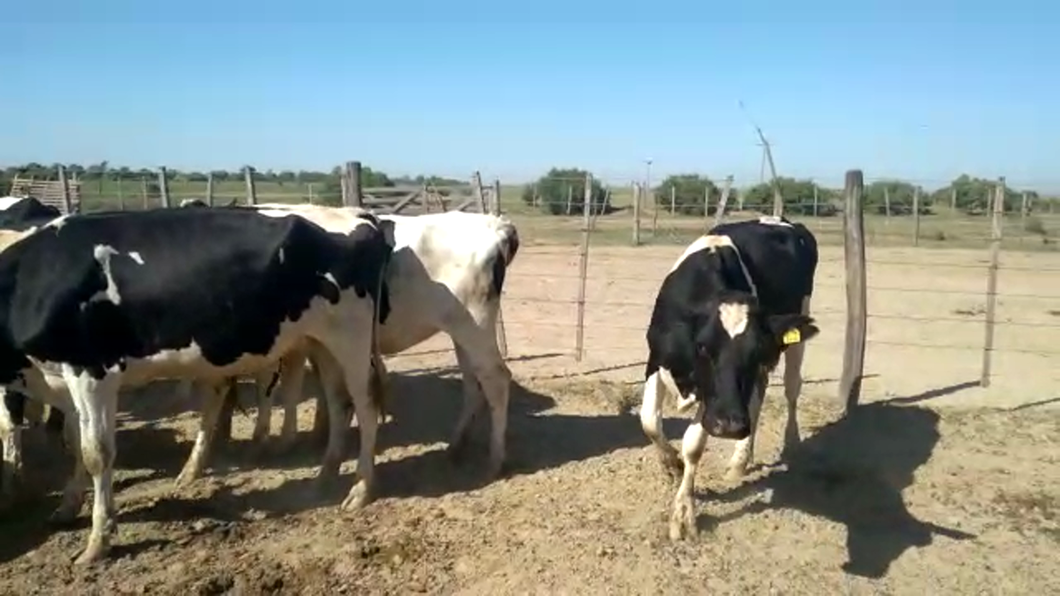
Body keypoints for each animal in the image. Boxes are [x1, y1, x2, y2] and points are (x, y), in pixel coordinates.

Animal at [0, 205, 394, 559]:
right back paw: (325, 477)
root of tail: (357, 217)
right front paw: (69, 507)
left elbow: (96, 452)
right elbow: (76, 443)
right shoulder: (61, 381)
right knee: (338, 402)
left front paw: (98, 541)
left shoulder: (92, 371)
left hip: (351, 336)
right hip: (319, 341)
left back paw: (361, 488)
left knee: (365, 404)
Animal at [635, 213, 818, 538]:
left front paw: (683, 513)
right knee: (758, 397)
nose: (731, 426)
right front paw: (672, 466)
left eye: (756, 351)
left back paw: (787, 443)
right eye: (703, 347)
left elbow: (693, 444)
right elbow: (649, 422)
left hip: (798, 329)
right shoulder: (656, 360)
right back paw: (741, 460)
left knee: (790, 389)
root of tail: (781, 219)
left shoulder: (716, 400)